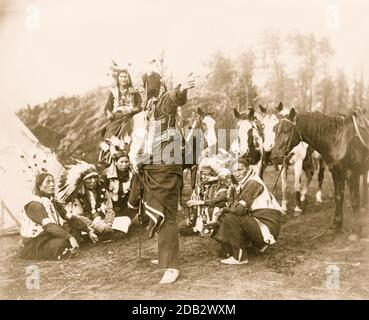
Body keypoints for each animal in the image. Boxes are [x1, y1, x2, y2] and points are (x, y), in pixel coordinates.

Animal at [270, 108, 368, 240]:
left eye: (287, 130)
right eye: (275, 130)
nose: (274, 157)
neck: (340, 141)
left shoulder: (351, 174)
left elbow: (354, 200)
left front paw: (356, 232)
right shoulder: (337, 173)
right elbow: (339, 197)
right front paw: (336, 226)